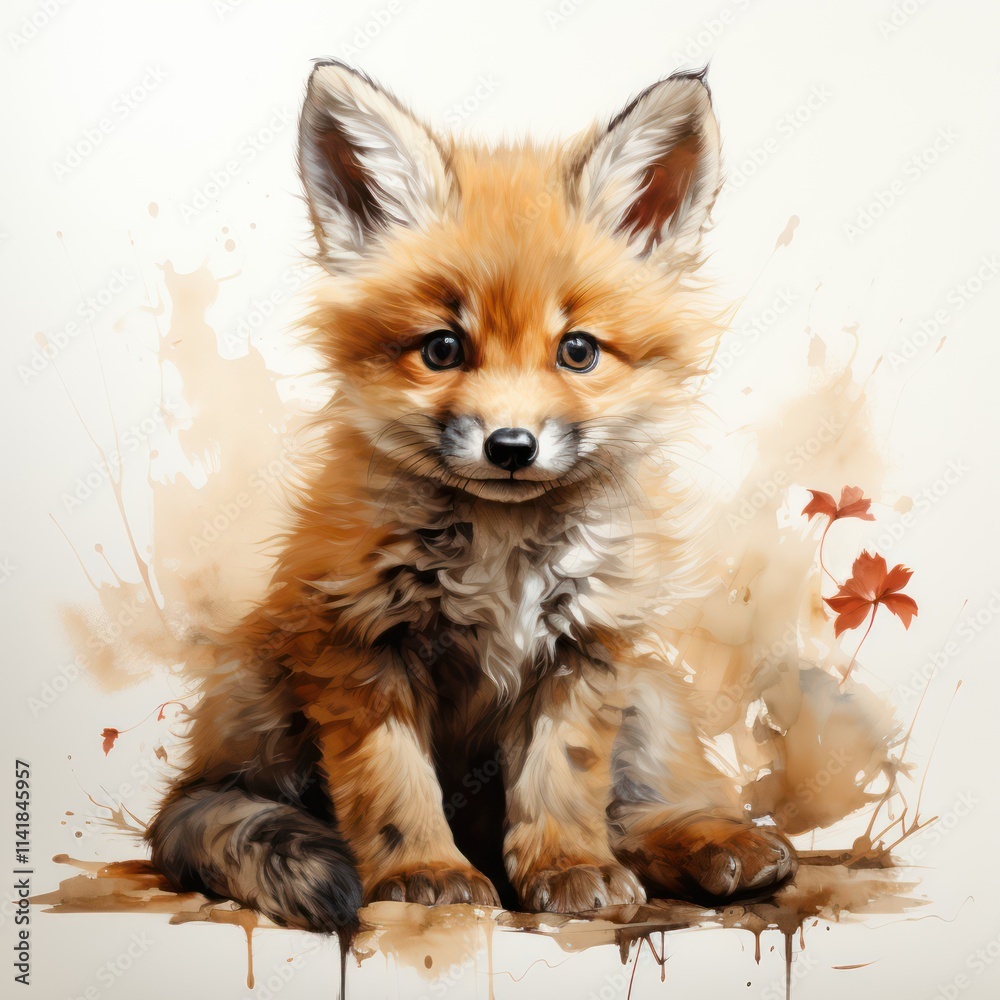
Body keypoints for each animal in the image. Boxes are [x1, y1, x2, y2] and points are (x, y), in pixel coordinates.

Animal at [146, 61, 797, 934]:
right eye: (443, 349)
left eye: (578, 351)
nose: (510, 447)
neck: (501, 550)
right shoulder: (358, 642)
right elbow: (392, 784)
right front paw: (423, 870)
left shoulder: (586, 645)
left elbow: (566, 778)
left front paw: (566, 865)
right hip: (259, 702)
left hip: (649, 695)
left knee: (636, 810)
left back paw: (710, 842)